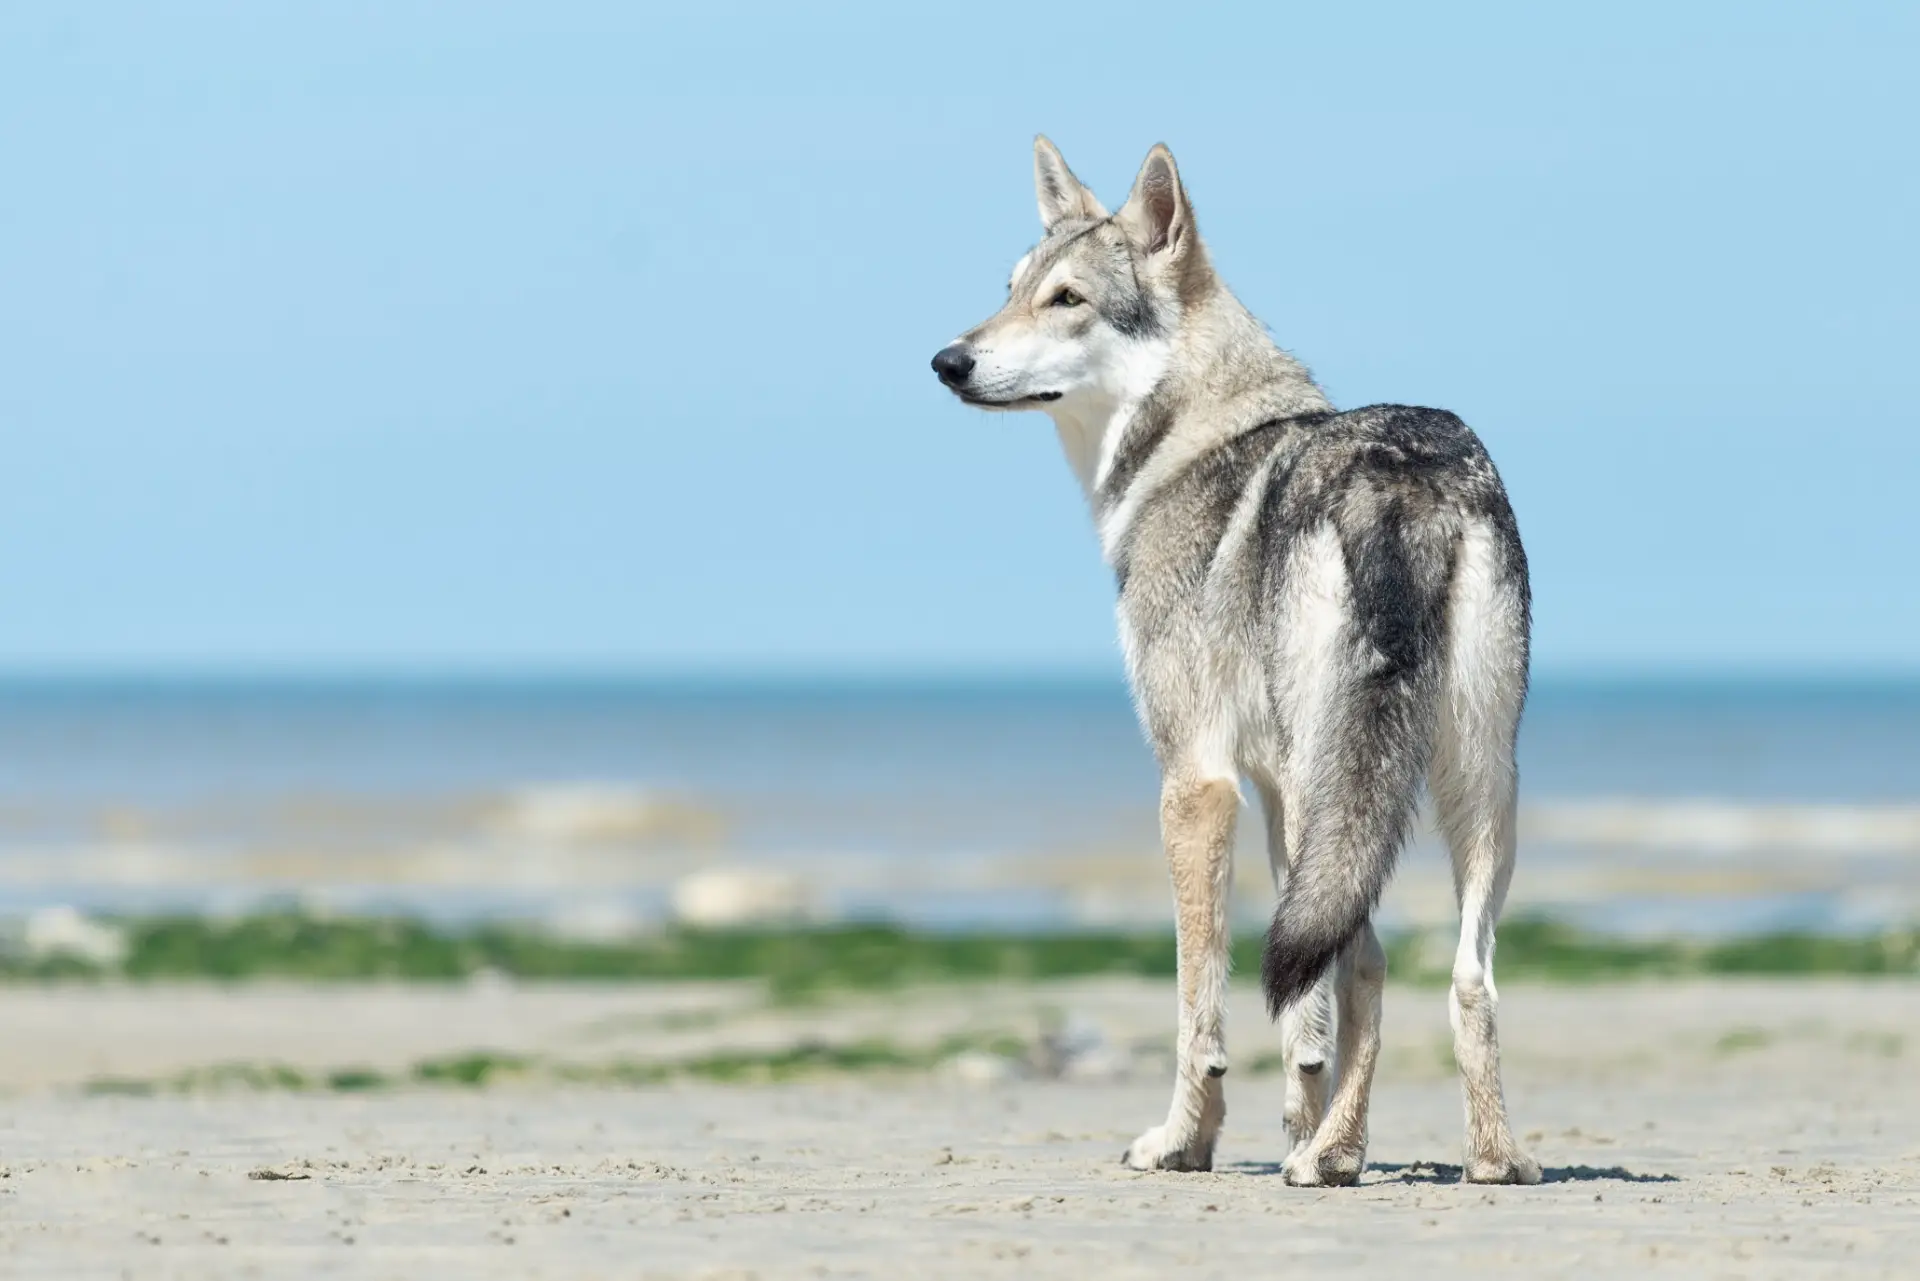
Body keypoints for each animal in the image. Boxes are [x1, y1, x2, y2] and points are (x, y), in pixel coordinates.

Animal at [931, 138, 1540, 1187]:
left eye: (1066, 299)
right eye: (1007, 289)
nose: (947, 360)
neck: (1191, 442)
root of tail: (1400, 477)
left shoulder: (1198, 783)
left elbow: (1203, 1005)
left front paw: (1186, 1140)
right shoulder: (1268, 793)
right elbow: (1305, 1020)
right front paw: (1297, 1125)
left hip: (1336, 775)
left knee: (1367, 960)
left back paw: (1336, 1157)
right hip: (1470, 781)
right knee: (1459, 974)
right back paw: (1477, 1157)